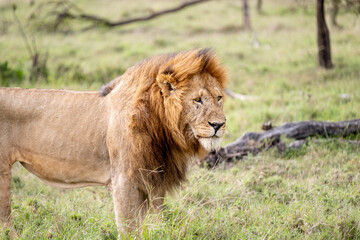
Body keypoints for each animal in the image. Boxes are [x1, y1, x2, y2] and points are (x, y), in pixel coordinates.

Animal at [0, 48, 225, 236]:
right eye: (197, 100)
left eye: (219, 98)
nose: (219, 124)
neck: (162, 126)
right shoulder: (124, 179)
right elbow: (129, 228)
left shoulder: (153, 179)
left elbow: (152, 222)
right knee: (5, 217)